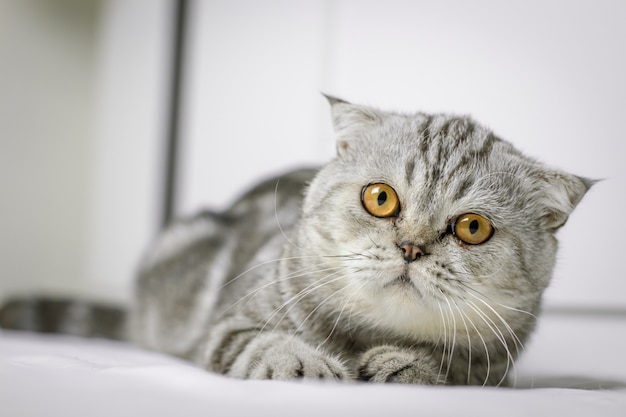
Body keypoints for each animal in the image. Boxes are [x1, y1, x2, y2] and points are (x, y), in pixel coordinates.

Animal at [0, 96, 588, 386]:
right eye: (381, 198)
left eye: (472, 228)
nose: (412, 247)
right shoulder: (228, 324)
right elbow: (264, 342)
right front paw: (305, 363)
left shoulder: (493, 365)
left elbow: (450, 367)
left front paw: (407, 364)